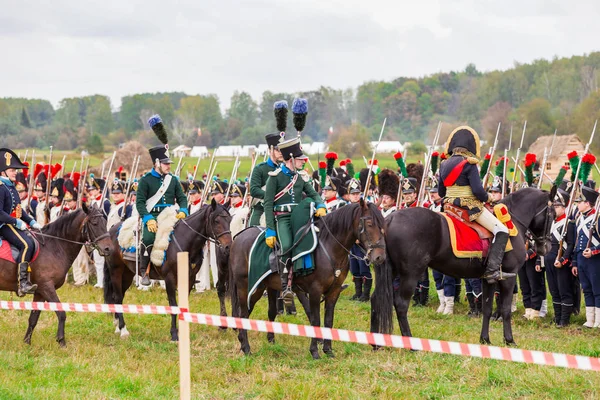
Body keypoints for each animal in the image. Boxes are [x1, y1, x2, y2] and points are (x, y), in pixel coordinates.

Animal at [0, 206, 114, 346]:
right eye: (94, 223)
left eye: (105, 222)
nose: (109, 249)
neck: (54, 246)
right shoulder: (47, 287)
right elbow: (61, 313)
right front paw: (61, 341)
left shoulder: (40, 292)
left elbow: (34, 317)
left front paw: (26, 342)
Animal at [105, 200, 232, 340]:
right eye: (216, 221)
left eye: (230, 219)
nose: (228, 247)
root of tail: (112, 230)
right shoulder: (169, 279)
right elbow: (174, 305)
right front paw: (174, 334)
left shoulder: (189, 278)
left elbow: (183, 304)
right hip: (116, 270)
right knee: (117, 297)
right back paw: (123, 329)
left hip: (127, 274)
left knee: (119, 296)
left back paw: (117, 325)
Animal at [230, 200, 390, 360]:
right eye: (369, 223)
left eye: (383, 225)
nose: (380, 257)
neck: (329, 249)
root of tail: (239, 236)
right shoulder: (314, 291)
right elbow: (315, 319)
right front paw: (315, 351)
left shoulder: (333, 292)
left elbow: (328, 320)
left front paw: (328, 350)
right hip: (246, 286)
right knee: (244, 312)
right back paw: (246, 348)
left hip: (263, 285)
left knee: (258, 311)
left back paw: (246, 340)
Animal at [372, 186, 556, 346]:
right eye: (552, 214)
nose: (546, 247)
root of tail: (390, 219)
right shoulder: (508, 277)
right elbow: (505, 310)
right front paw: (509, 340)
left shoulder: (488, 278)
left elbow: (487, 308)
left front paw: (485, 339)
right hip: (410, 274)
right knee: (401, 304)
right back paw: (410, 342)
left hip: (392, 272)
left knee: (377, 298)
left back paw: (376, 342)